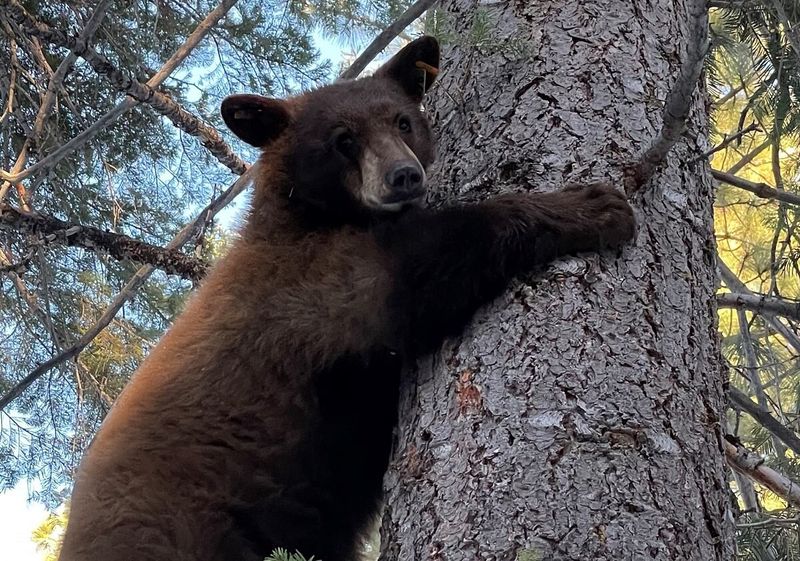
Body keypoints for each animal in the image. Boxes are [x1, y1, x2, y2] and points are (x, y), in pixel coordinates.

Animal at [57, 36, 636, 560]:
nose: (404, 176)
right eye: (342, 140)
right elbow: (414, 275)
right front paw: (590, 207)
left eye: (402, 121)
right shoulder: (306, 288)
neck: (313, 215)